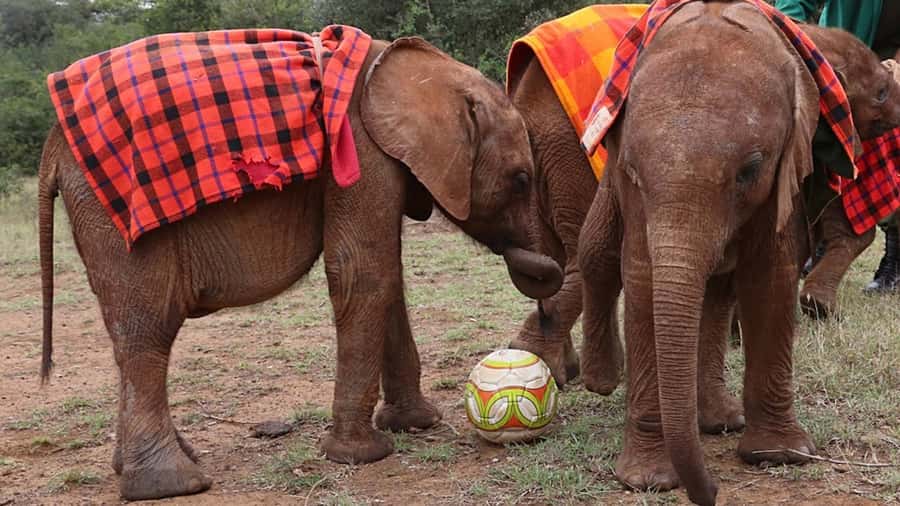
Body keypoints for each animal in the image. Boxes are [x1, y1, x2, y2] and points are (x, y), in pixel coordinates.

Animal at [38, 36, 562, 500]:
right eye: (521, 180)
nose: (544, 286)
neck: (421, 70)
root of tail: (51, 148)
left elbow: (387, 274)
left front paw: (416, 424)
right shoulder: (360, 153)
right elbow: (362, 272)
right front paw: (363, 456)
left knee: (128, 335)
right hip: (117, 213)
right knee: (147, 330)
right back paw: (173, 485)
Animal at [576, 3, 900, 505]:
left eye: (750, 170)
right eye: (633, 170)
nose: (710, 493)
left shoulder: (790, 162)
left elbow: (771, 275)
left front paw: (780, 455)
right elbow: (643, 276)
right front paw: (647, 480)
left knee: (714, 293)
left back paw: (718, 421)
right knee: (597, 252)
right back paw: (602, 379)